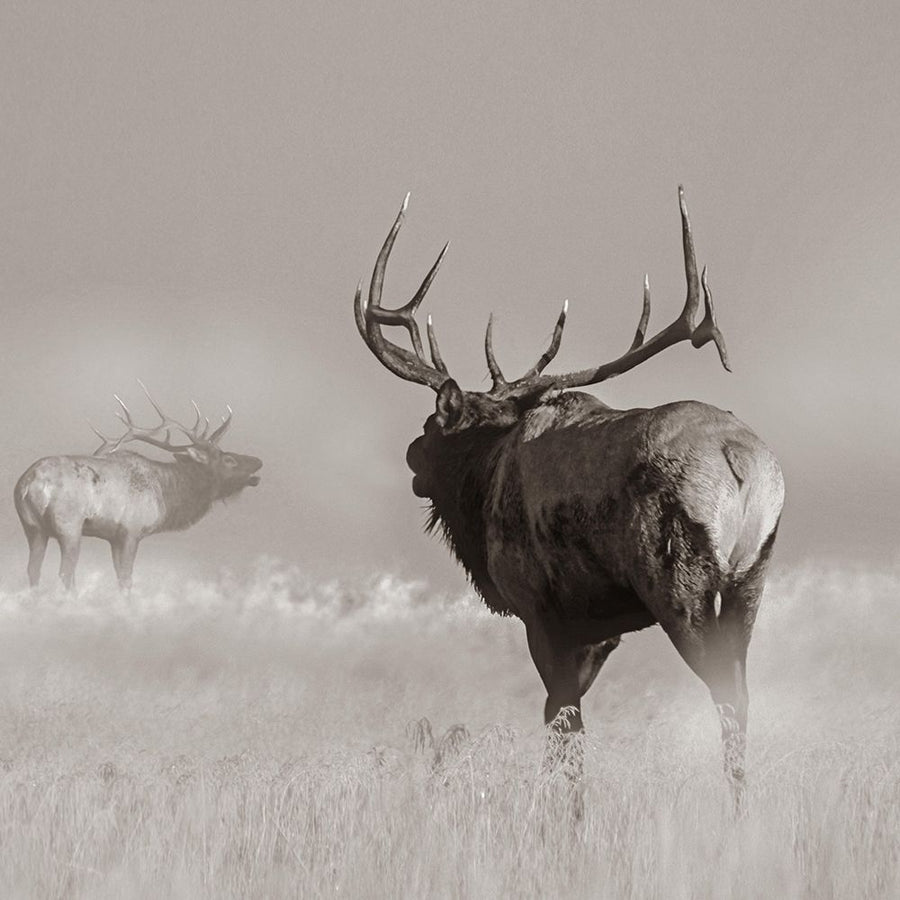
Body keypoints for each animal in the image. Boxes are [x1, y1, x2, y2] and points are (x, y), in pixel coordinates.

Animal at [356, 188, 784, 796]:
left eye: (434, 426)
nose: (413, 455)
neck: (483, 482)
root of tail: (742, 459)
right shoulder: (601, 630)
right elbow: (566, 723)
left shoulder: (540, 609)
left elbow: (563, 725)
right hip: (752, 580)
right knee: (743, 695)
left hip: (680, 583)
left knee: (724, 692)